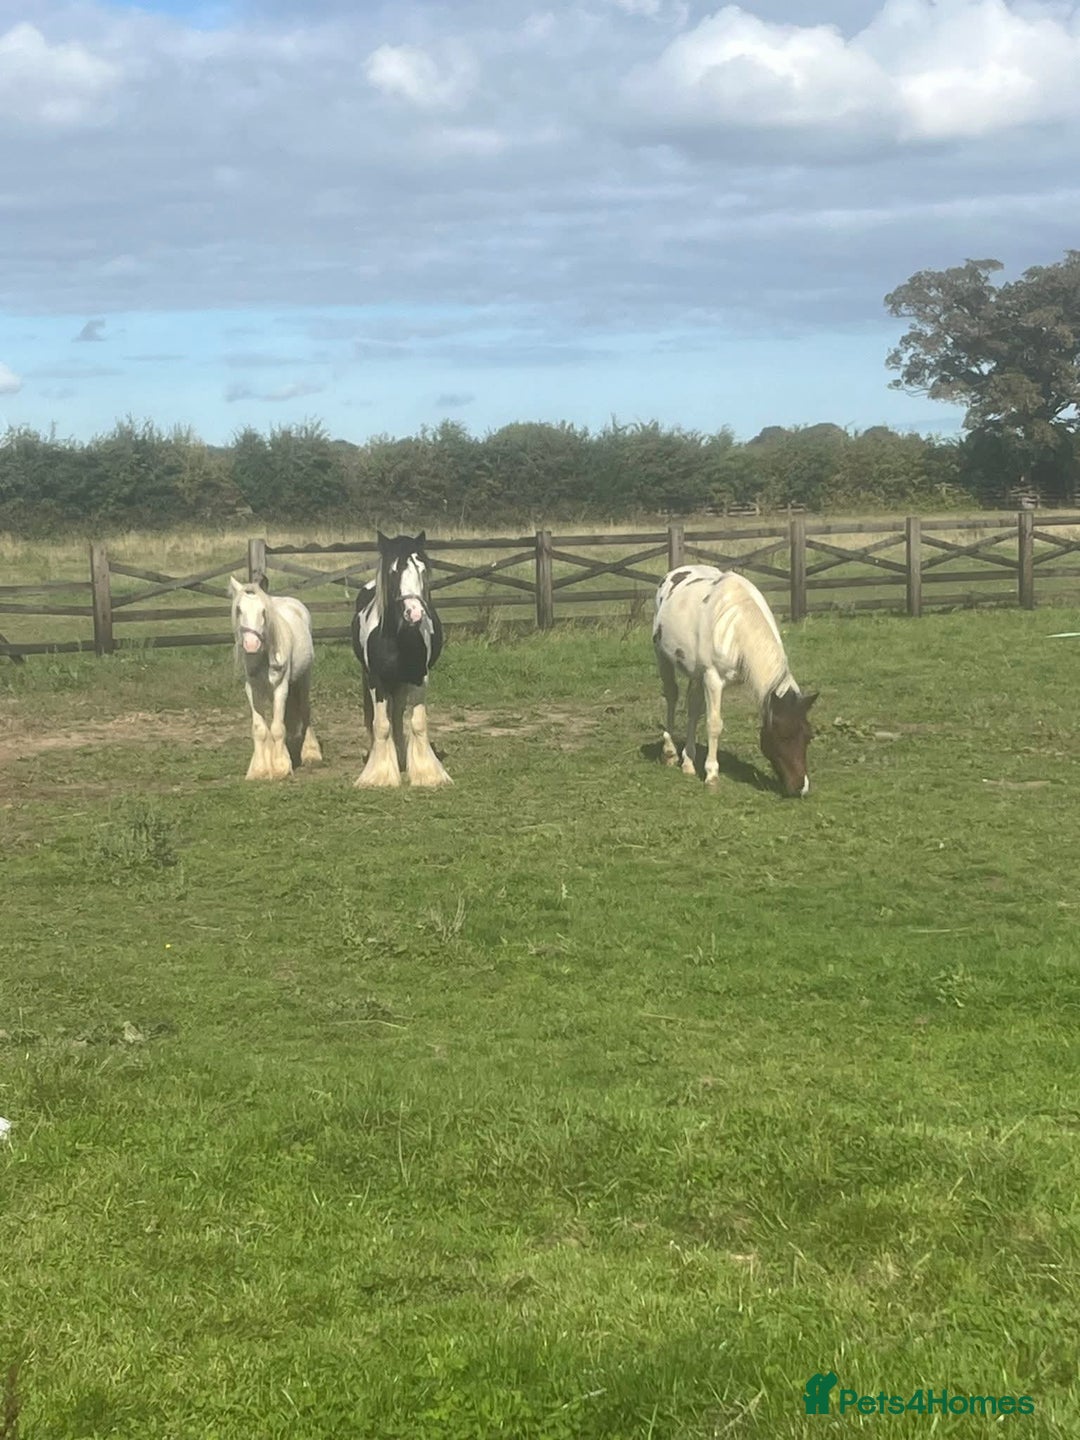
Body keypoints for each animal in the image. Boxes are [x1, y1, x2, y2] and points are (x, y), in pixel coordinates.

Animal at [229, 577, 323, 780]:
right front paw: (259, 769)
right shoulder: (253, 689)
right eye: (239, 609)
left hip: (304, 678)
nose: (251, 644)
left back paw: (311, 753)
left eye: (264, 611)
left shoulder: (281, 687)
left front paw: (280, 767)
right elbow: (260, 728)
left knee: (305, 710)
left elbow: (278, 728)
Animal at [351, 530, 451, 788]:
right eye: (393, 571)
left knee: (397, 716)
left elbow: (416, 723)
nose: (415, 613)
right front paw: (379, 775)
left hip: (401, 683)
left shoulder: (418, 678)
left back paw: (401, 758)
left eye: (423, 570)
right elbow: (380, 725)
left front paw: (427, 774)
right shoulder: (376, 680)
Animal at [653, 566, 817, 796]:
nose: (801, 788)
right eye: (782, 736)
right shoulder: (712, 679)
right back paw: (670, 751)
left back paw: (688, 762)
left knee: (693, 709)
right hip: (662, 656)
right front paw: (712, 776)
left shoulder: (705, 677)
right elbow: (714, 724)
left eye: (808, 736)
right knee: (671, 694)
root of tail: (674, 573)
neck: (736, 625)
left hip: (696, 674)